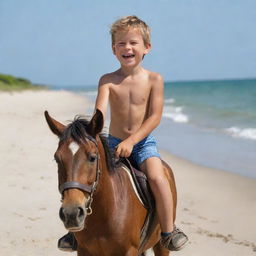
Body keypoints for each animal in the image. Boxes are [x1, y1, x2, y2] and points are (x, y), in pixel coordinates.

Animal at [44, 109, 176, 255]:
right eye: (57, 159)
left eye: (92, 157)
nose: (71, 214)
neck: (105, 213)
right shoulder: (83, 250)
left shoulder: (129, 250)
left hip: (161, 245)